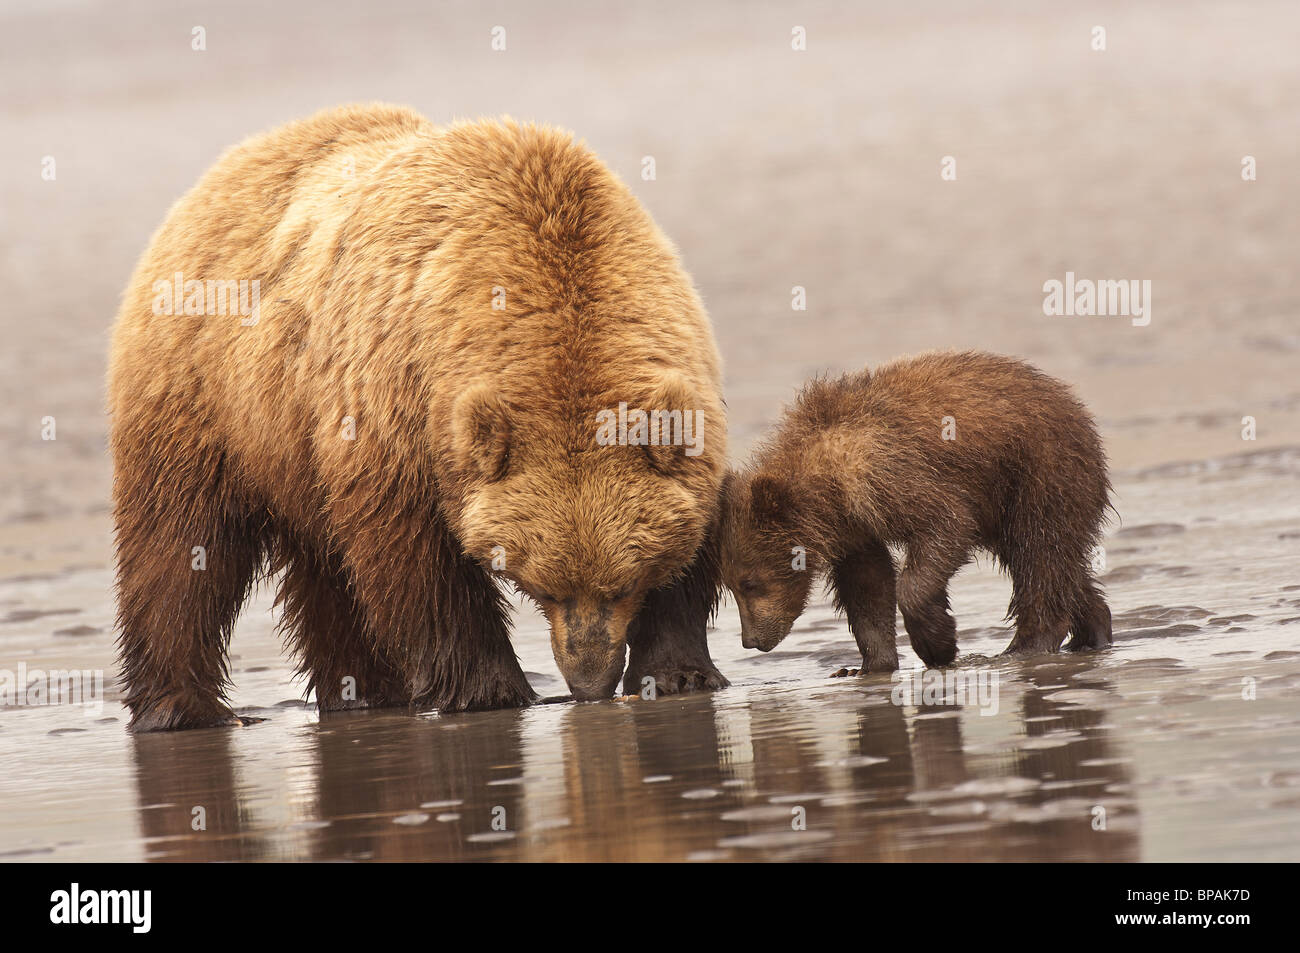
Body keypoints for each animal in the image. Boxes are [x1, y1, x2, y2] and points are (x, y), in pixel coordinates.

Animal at [108, 103, 729, 731]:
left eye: (624, 584)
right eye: (546, 586)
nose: (588, 681)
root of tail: (217, 176)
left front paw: (677, 672)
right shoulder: (394, 404)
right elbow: (417, 563)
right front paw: (490, 690)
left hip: (298, 457)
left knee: (326, 574)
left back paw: (362, 691)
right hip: (204, 401)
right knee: (181, 549)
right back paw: (184, 707)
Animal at [719, 350, 1113, 672]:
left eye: (749, 583)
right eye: (732, 585)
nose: (750, 641)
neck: (827, 489)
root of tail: (1072, 401)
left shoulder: (887, 475)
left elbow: (945, 525)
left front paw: (938, 644)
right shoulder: (854, 528)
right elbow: (868, 585)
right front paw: (870, 664)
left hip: (1040, 470)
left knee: (1040, 552)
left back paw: (1026, 645)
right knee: (1057, 562)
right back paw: (1093, 629)